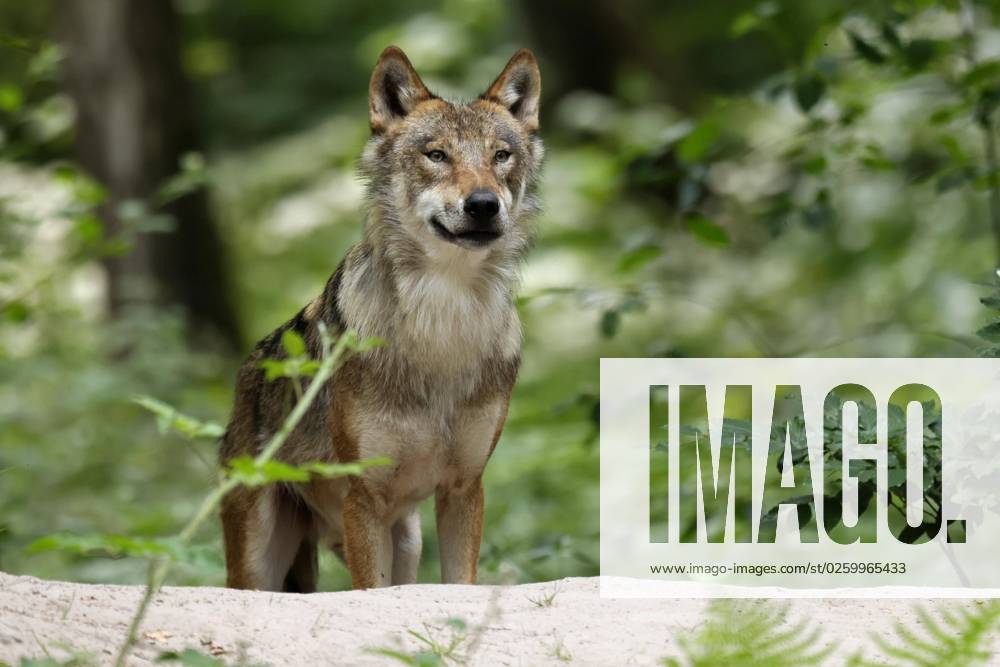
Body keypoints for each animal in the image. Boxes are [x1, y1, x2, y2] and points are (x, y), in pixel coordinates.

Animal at [219, 46, 542, 591]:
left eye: (501, 155)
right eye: (436, 155)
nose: (483, 204)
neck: (443, 321)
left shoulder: (464, 488)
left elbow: (461, 582)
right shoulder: (364, 498)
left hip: (405, 539)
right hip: (260, 561)